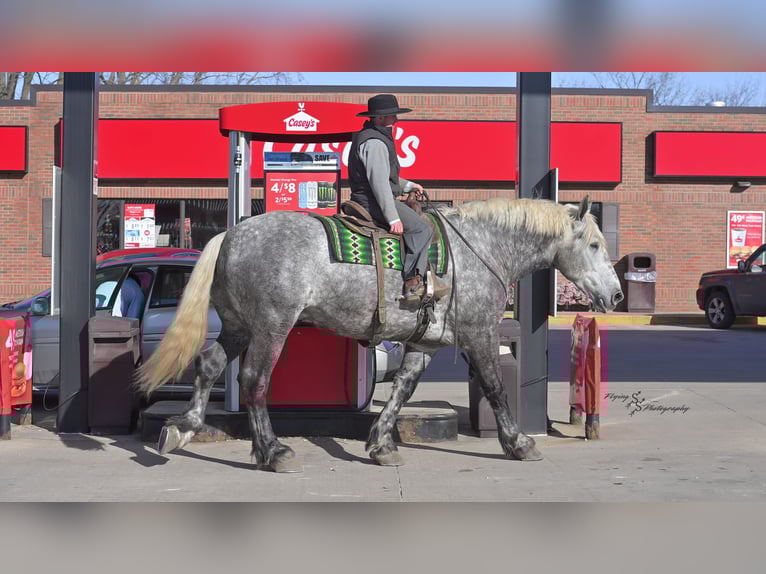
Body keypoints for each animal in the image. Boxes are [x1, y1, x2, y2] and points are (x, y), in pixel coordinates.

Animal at [136, 196, 623, 472]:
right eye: (594, 245)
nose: (618, 295)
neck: (481, 248)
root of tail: (231, 234)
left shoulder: (426, 342)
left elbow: (402, 389)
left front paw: (380, 444)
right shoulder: (480, 333)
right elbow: (496, 387)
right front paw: (518, 443)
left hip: (239, 326)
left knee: (209, 364)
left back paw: (183, 428)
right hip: (272, 326)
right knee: (254, 381)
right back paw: (272, 451)